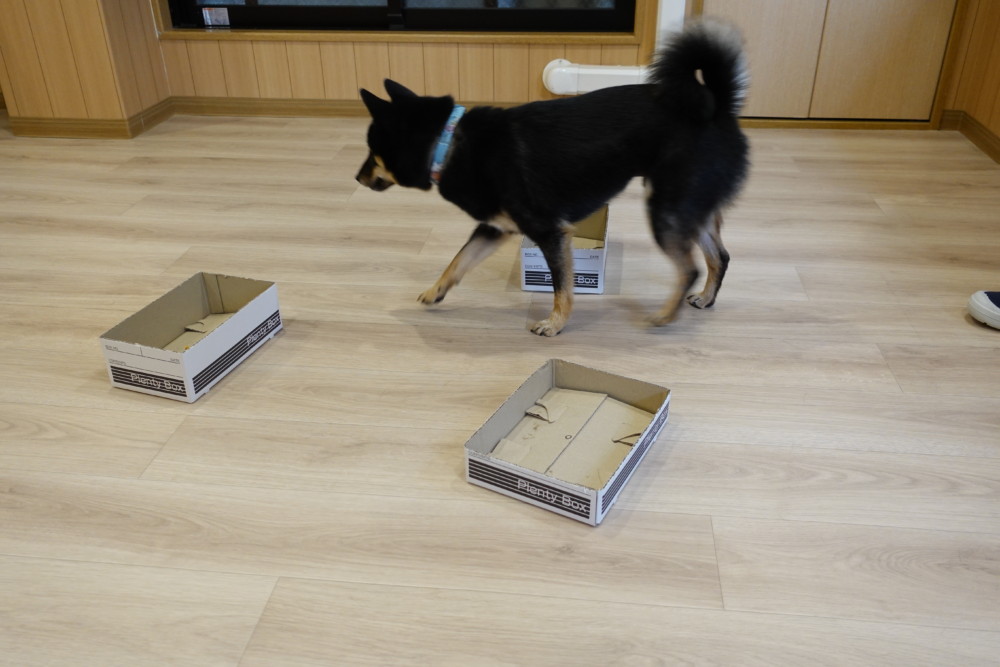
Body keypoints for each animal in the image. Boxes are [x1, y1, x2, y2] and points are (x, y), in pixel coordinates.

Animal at [356, 19, 749, 336]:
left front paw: (555, 324)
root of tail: (717, 106)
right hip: (689, 207)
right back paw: (705, 299)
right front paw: (435, 291)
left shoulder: (549, 232)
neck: (448, 143)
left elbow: (562, 288)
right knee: (720, 256)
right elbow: (459, 259)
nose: (357, 177)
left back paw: (666, 316)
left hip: (666, 209)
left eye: (372, 150)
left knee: (689, 268)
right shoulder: (496, 227)